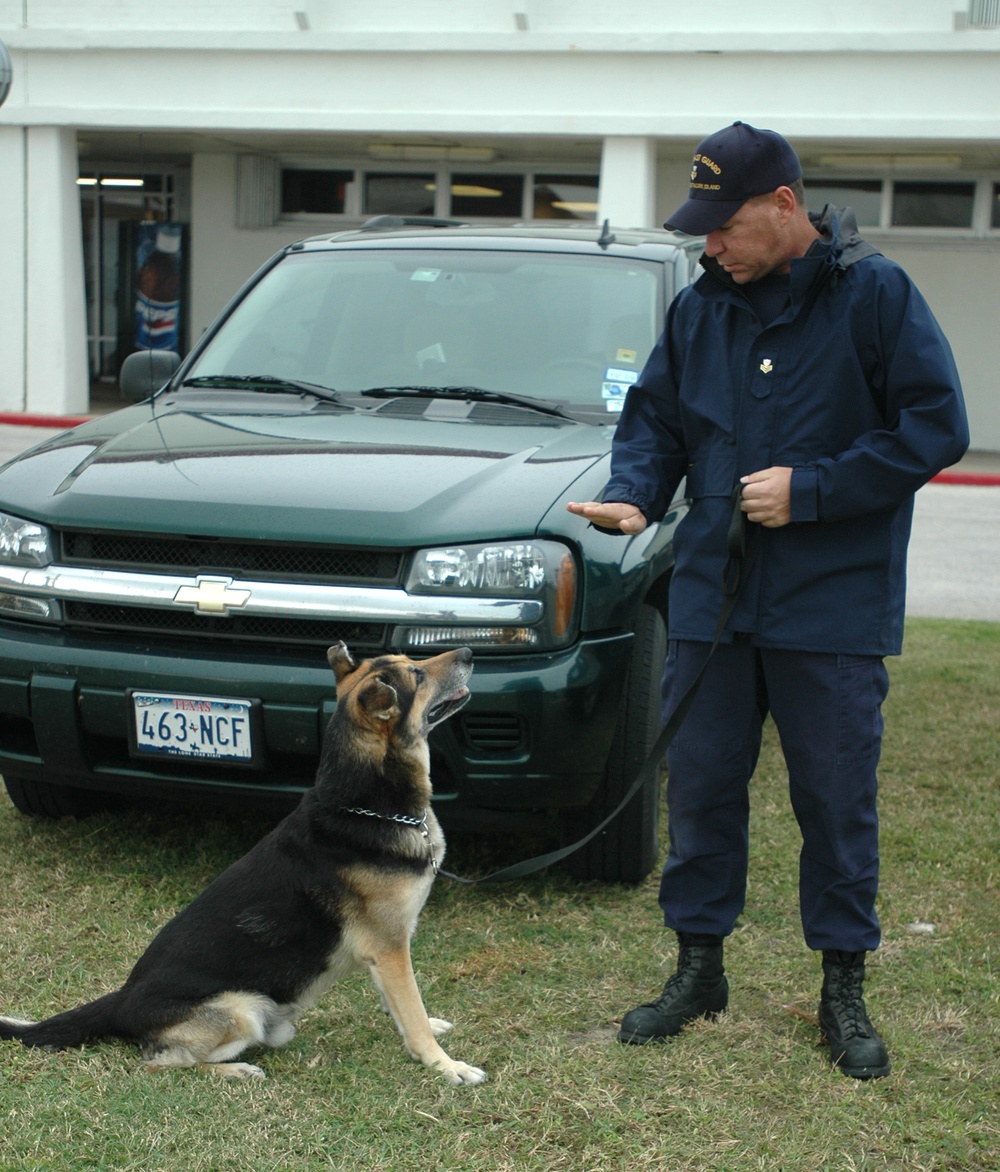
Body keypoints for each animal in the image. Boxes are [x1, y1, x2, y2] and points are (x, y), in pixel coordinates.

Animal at [0, 646, 483, 1082]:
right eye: (417, 675)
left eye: (413, 662)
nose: (470, 652)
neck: (368, 804)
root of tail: (120, 1000)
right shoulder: (389, 947)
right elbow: (411, 1010)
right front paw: (446, 1066)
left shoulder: (386, 951)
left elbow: (399, 1005)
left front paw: (422, 1032)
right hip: (242, 1009)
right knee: (158, 1064)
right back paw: (237, 1070)